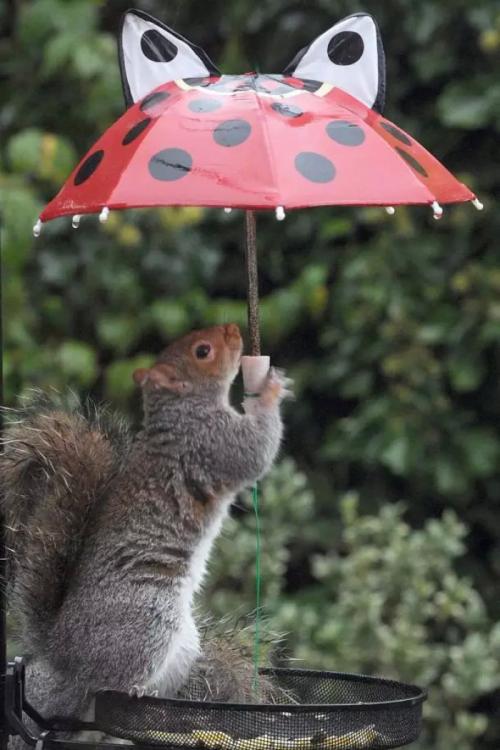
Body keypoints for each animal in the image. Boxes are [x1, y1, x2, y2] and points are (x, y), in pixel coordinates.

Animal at [0, 324, 290, 740]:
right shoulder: (212, 443)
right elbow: (256, 452)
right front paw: (269, 390)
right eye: (203, 351)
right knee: (105, 684)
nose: (234, 330)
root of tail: (61, 651)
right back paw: (133, 690)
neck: (181, 410)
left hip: (181, 646)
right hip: (148, 620)